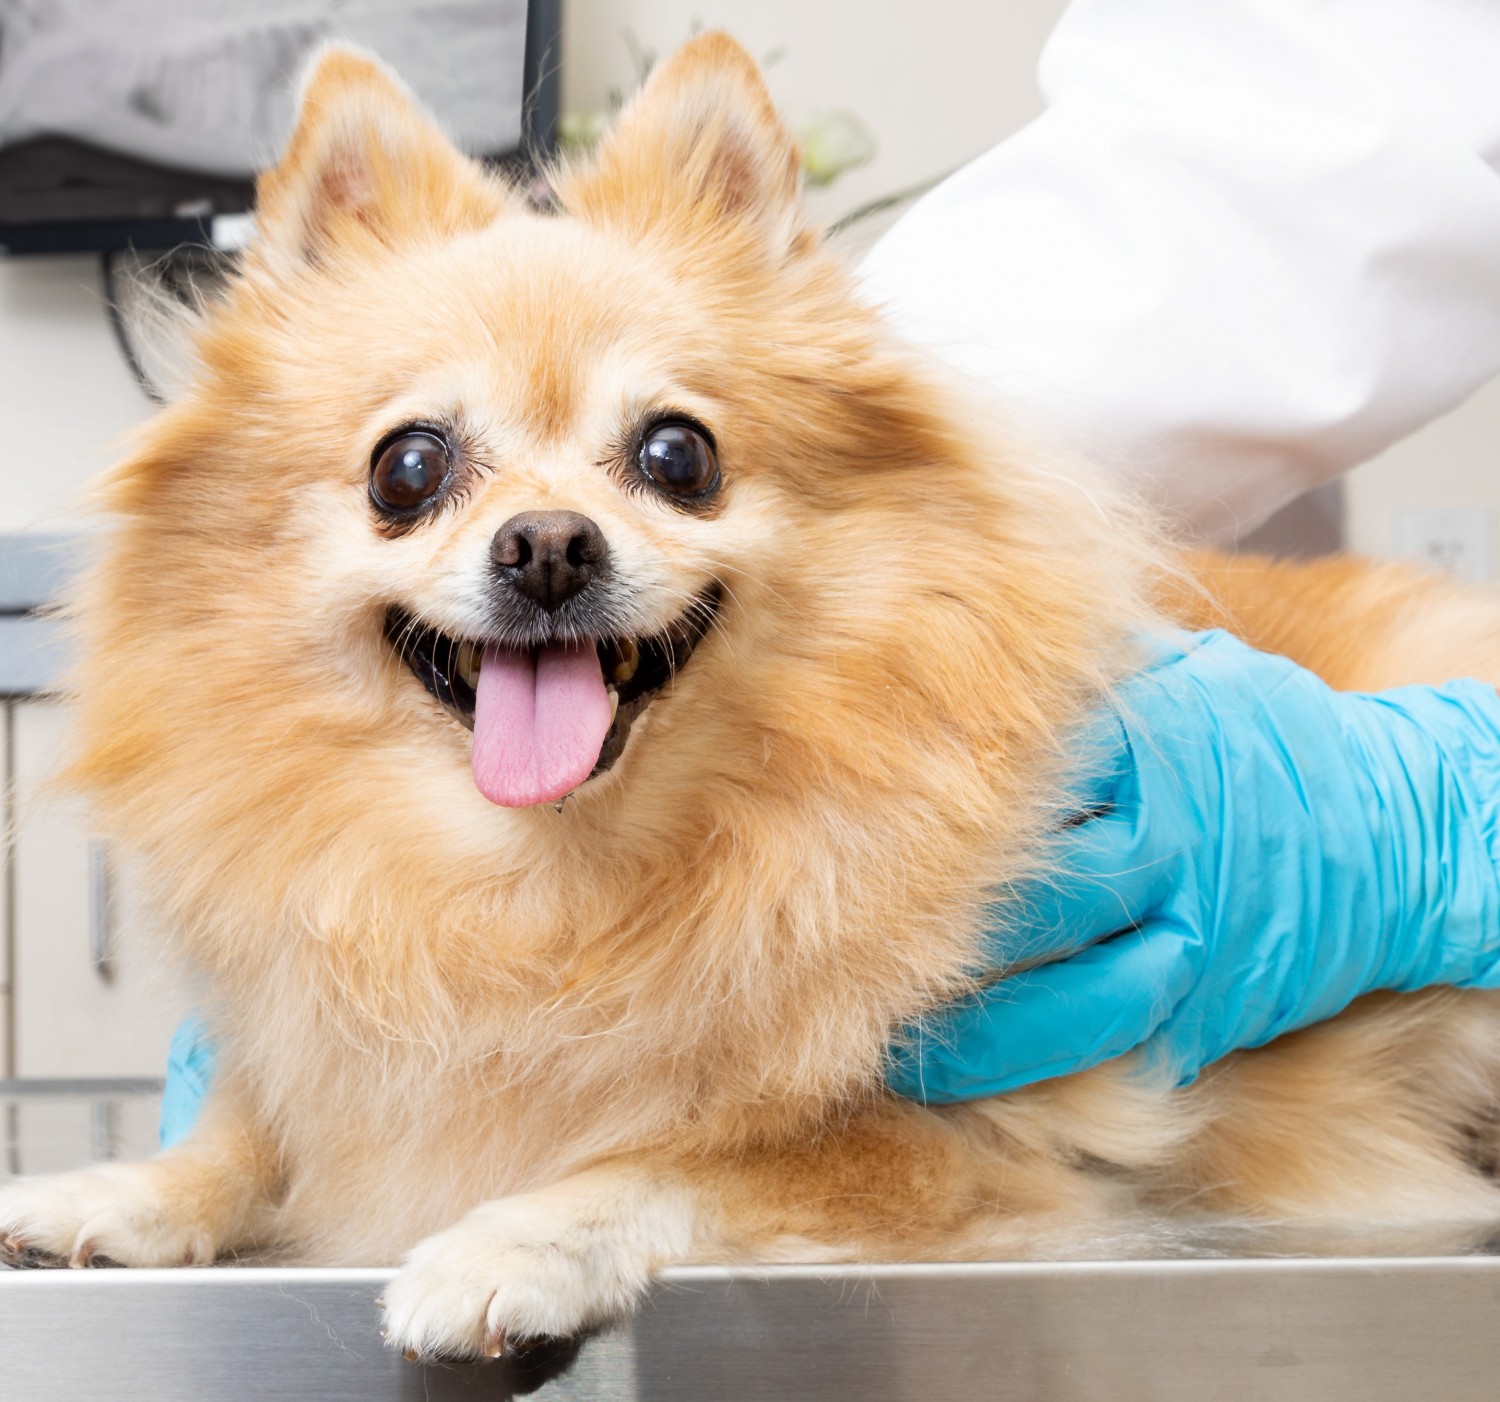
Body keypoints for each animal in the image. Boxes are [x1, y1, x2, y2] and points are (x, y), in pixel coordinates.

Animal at [2, 32, 1500, 1367]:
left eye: (679, 455)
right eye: (407, 469)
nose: (547, 544)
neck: (549, 892)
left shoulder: (981, 1139)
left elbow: (705, 1146)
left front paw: (516, 1236)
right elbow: (255, 1125)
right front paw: (124, 1186)